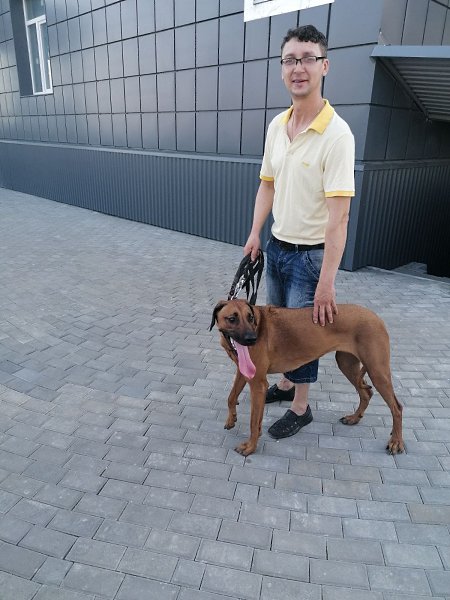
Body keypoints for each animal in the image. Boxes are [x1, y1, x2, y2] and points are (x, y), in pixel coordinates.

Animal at [210, 299, 404, 456]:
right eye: (232, 319)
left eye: (250, 318)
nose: (252, 339)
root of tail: (376, 317)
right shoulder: (244, 371)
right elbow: (231, 397)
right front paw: (231, 419)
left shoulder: (258, 383)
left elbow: (253, 422)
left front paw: (250, 447)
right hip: (346, 363)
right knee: (366, 393)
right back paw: (354, 418)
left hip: (377, 371)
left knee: (397, 407)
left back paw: (396, 442)